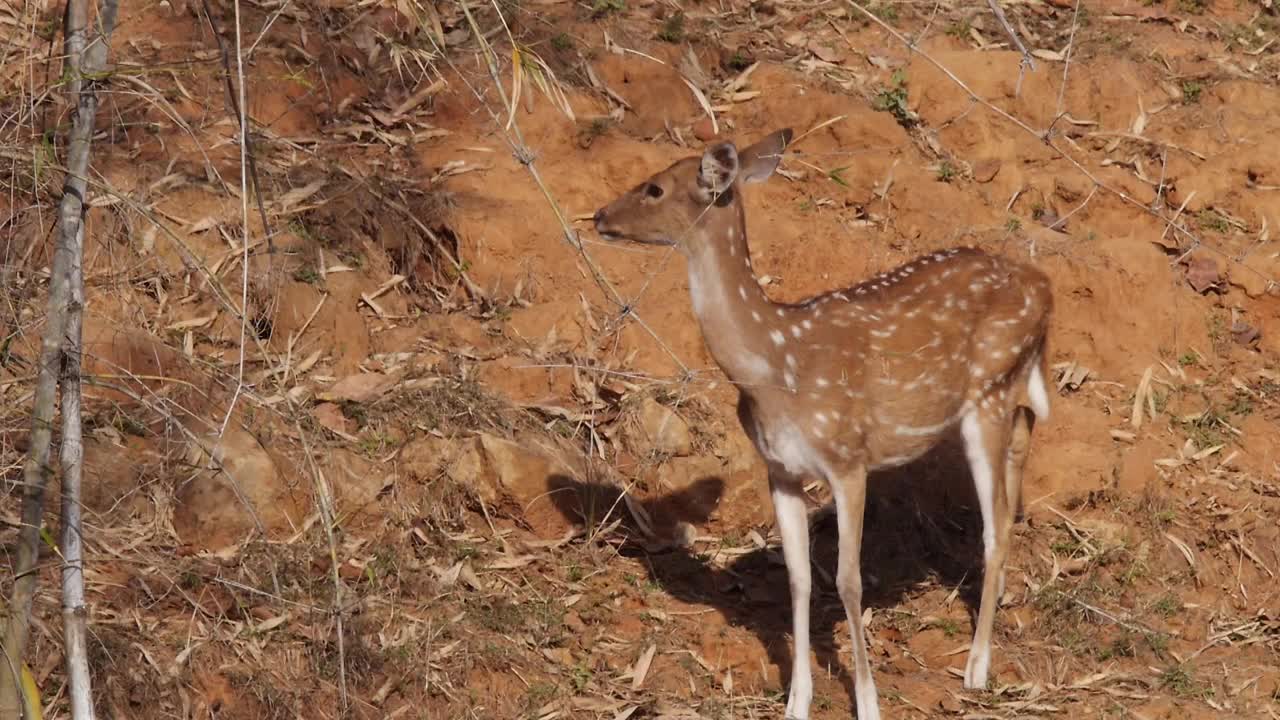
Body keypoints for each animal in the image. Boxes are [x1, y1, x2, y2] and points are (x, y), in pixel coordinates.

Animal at [588, 130, 1049, 717]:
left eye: (654, 188)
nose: (599, 215)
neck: (774, 368)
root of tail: (1044, 287)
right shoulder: (780, 468)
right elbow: (800, 579)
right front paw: (797, 700)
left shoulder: (848, 458)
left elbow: (849, 581)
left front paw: (869, 702)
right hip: (1010, 390)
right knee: (1020, 457)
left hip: (988, 394)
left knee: (997, 525)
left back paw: (977, 667)